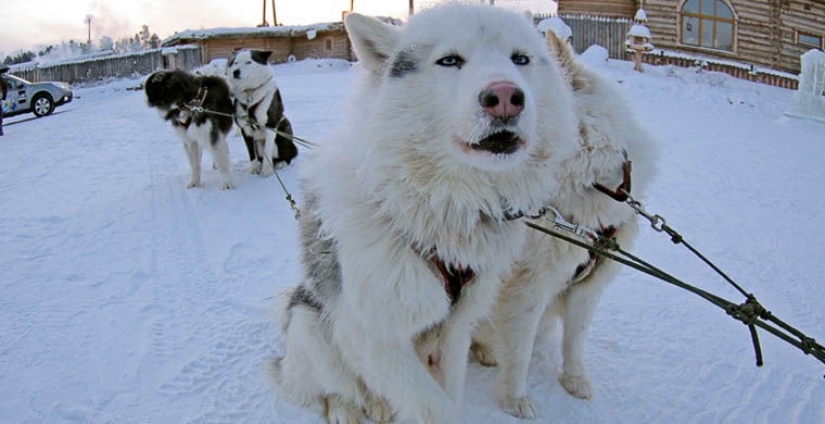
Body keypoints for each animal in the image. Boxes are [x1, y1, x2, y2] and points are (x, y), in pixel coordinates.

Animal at [272, 4, 580, 424]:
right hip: (310, 326)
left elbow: (448, 392)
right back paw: (346, 409)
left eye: (521, 59)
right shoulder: (374, 335)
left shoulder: (455, 330)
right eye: (449, 60)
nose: (504, 96)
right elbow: (433, 406)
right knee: (330, 387)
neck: (444, 206)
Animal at [470, 29, 656, 418]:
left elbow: (575, 340)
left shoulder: (587, 287)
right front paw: (515, 400)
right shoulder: (527, 288)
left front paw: (574, 380)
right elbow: (520, 353)